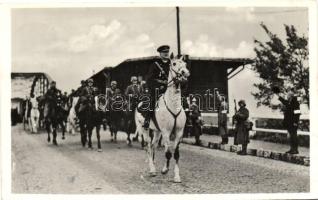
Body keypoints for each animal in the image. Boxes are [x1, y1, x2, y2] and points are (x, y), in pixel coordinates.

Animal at [134, 54, 189, 182]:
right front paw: (165, 170)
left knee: (153, 146)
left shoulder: (178, 132)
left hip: (157, 131)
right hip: (144, 130)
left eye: (185, 64)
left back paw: (153, 165)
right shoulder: (166, 132)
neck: (173, 105)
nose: (185, 73)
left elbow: (176, 154)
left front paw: (176, 176)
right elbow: (168, 152)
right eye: (174, 64)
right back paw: (152, 169)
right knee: (148, 147)